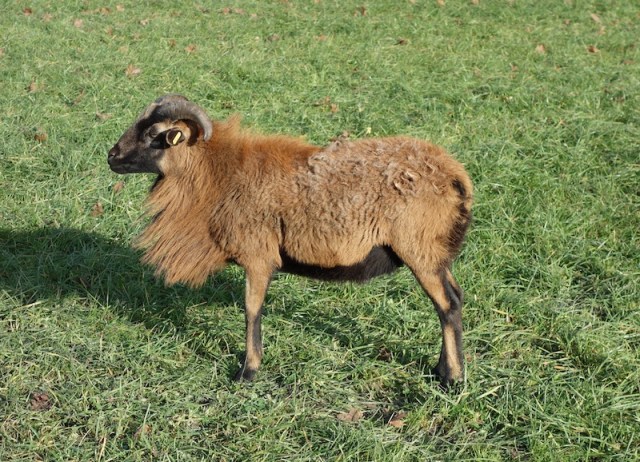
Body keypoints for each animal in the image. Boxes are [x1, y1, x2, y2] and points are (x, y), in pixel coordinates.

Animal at [108, 94, 473, 387]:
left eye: (155, 135)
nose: (111, 156)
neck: (217, 175)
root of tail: (455, 175)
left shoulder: (258, 256)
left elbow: (252, 309)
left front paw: (247, 372)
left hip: (419, 251)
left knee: (448, 305)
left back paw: (453, 379)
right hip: (435, 254)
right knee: (454, 297)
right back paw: (441, 369)